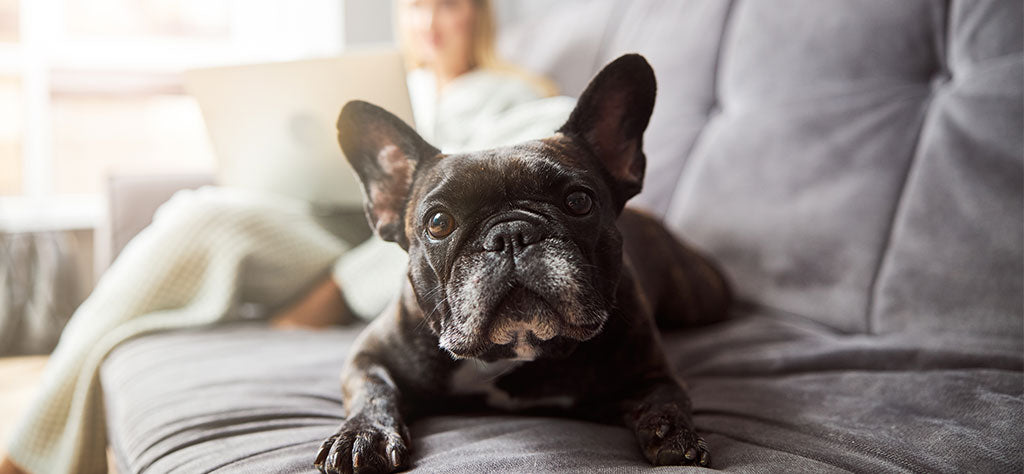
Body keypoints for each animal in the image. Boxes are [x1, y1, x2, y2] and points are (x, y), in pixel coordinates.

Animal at [311, 53, 729, 472]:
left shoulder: (650, 370)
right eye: (438, 222)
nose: (511, 235)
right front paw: (364, 434)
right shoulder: (369, 354)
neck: (510, 352)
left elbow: (666, 396)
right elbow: (373, 389)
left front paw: (673, 433)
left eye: (579, 201)